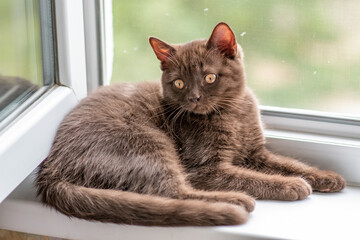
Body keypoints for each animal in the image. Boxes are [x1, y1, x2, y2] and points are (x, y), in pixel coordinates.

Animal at [36, 21, 346, 226]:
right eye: (179, 83)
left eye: (209, 77)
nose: (194, 98)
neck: (233, 114)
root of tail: (51, 168)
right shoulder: (206, 167)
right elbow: (251, 177)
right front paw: (292, 185)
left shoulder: (256, 152)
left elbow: (289, 163)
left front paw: (325, 177)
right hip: (148, 143)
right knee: (173, 192)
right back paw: (235, 201)